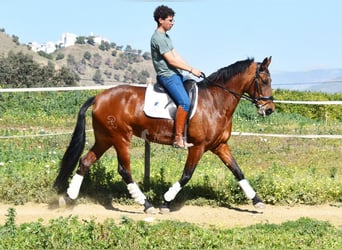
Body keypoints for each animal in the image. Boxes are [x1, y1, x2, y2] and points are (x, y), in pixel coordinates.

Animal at [53, 56, 274, 213]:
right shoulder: (198, 147)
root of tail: (99, 97)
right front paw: (166, 202)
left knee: (85, 161)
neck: (215, 101)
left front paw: (257, 201)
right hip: (120, 138)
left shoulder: (219, 146)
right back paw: (146, 204)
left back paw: (69, 197)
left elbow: (238, 171)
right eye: (264, 80)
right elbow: (186, 175)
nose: (270, 109)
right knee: (124, 170)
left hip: (104, 139)